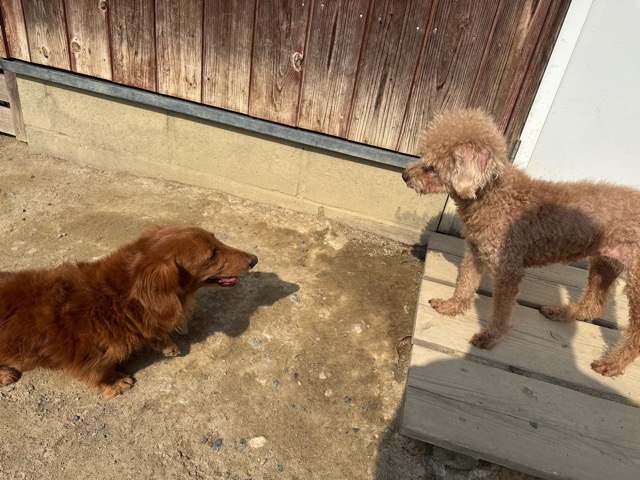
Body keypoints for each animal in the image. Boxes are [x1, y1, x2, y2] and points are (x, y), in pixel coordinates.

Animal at [0, 225, 258, 396]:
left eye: (217, 240)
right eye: (212, 255)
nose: (255, 259)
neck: (120, 298)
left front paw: (166, 343)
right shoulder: (89, 358)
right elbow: (99, 373)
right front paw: (114, 383)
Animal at [403, 108, 640, 377]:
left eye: (432, 168)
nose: (404, 175)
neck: (495, 197)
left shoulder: (509, 270)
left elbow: (501, 312)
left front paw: (490, 338)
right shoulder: (475, 252)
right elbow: (465, 284)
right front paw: (451, 306)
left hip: (635, 280)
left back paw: (612, 364)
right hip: (605, 262)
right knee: (594, 302)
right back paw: (562, 312)